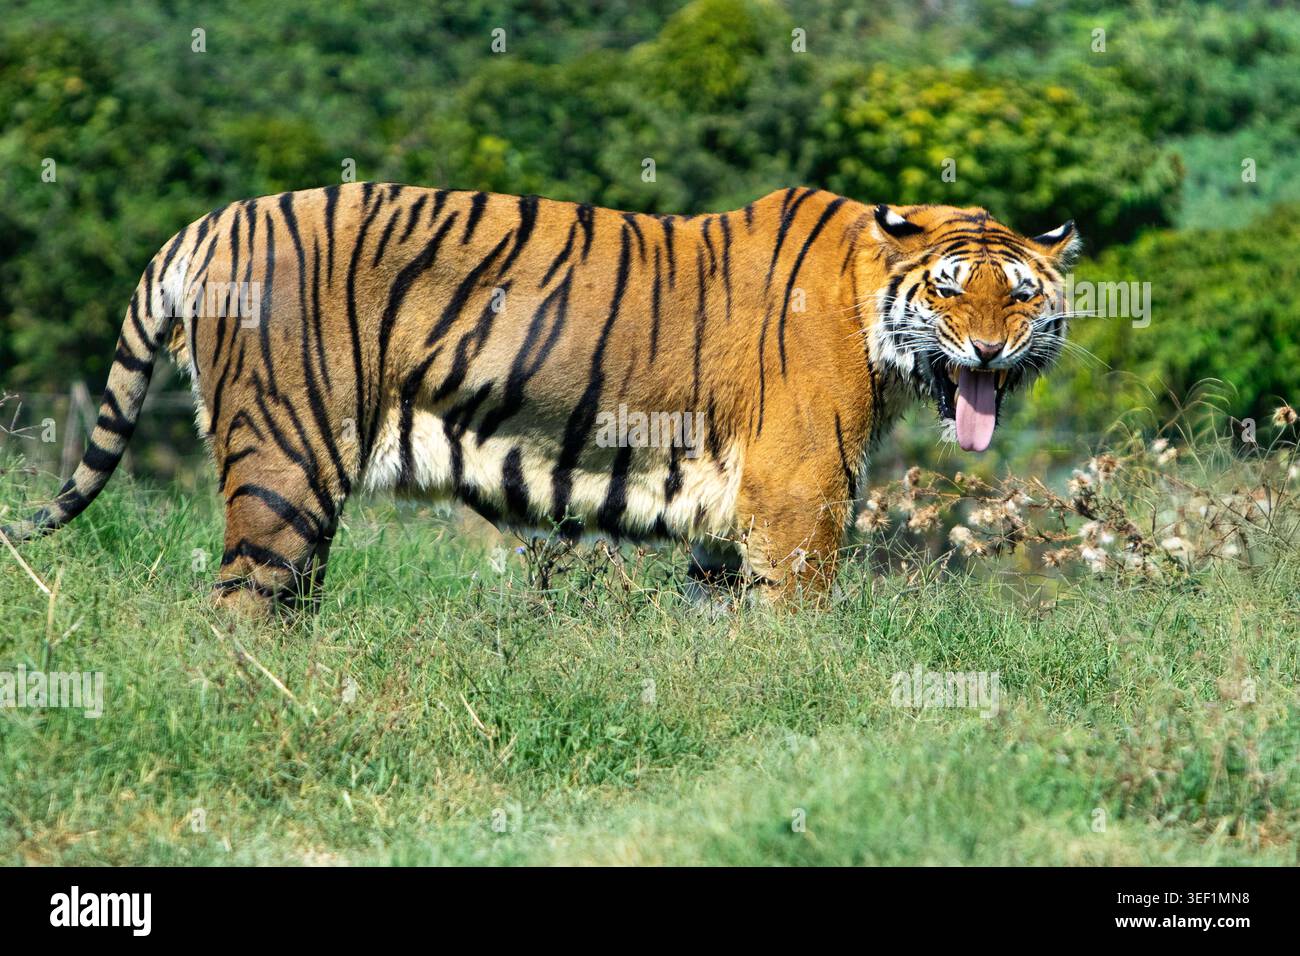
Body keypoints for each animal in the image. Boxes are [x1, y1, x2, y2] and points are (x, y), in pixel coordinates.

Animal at [3, 184, 1078, 613]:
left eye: (1020, 295)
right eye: (952, 289)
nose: (989, 348)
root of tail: (214, 220)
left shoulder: (730, 526)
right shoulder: (798, 499)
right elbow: (796, 629)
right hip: (287, 460)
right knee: (242, 603)